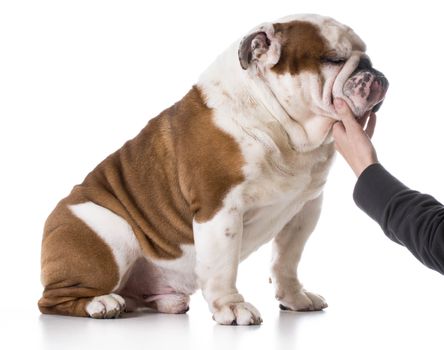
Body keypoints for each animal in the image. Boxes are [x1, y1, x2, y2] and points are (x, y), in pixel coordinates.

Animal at [39, 13, 388, 326]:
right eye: (333, 59)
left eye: (367, 55)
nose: (372, 69)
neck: (279, 125)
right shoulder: (220, 207)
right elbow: (223, 266)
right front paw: (231, 307)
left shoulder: (304, 209)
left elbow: (286, 260)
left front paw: (295, 298)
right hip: (112, 233)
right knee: (51, 300)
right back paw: (100, 303)